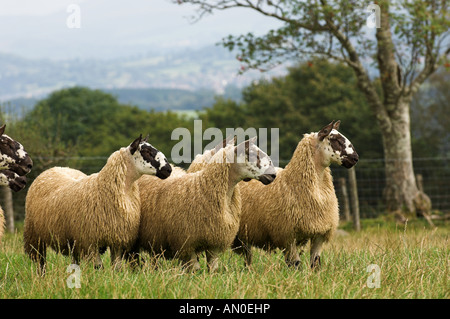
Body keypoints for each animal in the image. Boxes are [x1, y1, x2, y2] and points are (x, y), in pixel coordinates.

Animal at [22, 136, 171, 276]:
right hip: (34, 235)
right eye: (147, 151)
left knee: (74, 260)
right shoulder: (90, 241)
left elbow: (117, 268)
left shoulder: (117, 239)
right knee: (40, 261)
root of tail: (54, 168)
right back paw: (41, 276)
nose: (168, 169)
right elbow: (99, 267)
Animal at [132, 138, 276, 272]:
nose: (273, 175)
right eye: (251, 153)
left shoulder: (214, 243)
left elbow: (213, 268)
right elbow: (195, 269)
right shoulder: (187, 243)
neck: (204, 185)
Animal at [236, 122, 358, 270]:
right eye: (335, 139)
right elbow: (296, 265)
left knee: (247, 259)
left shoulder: (319, 234)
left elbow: (315, 264)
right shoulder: (287, 235)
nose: (355, 158)